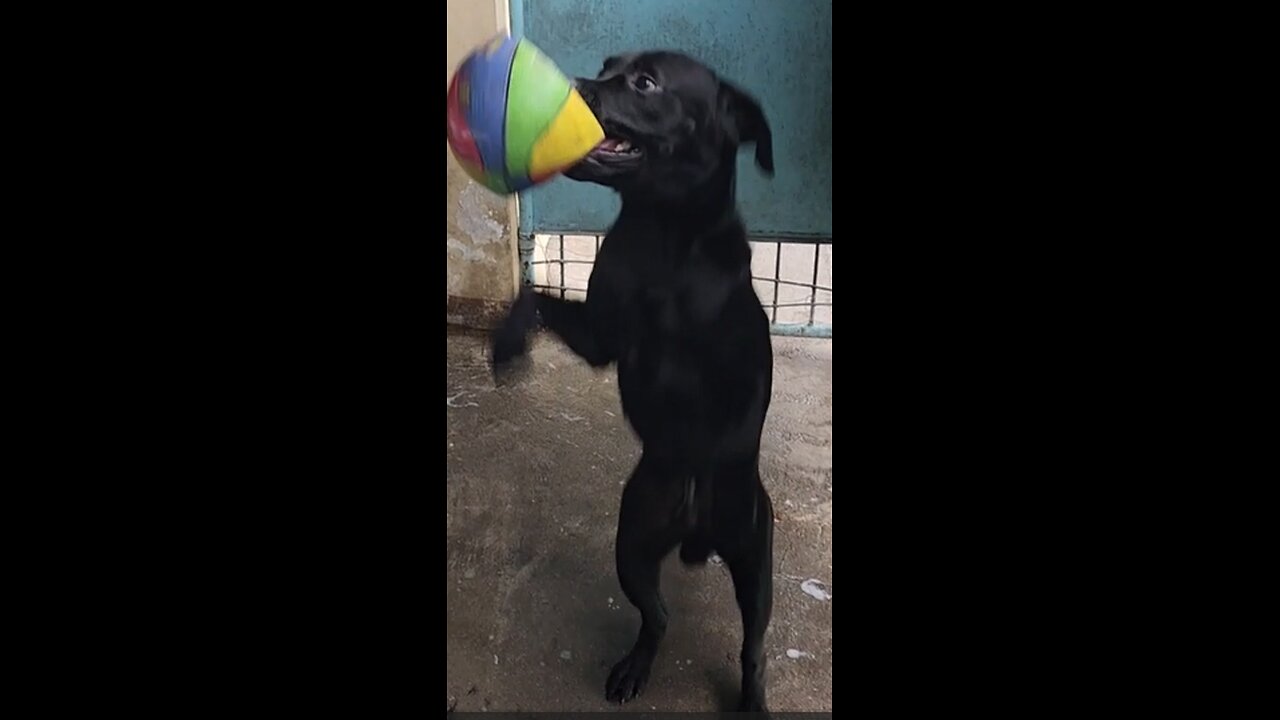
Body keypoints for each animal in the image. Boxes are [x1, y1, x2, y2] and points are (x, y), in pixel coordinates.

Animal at [488, 50, 773, 712]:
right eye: (605, 66)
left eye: (647, 83)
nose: (567, 87)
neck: (659, 232)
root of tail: (695, 533)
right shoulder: (603, 339)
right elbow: (533, 298)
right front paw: (508, 344)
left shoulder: (738, 355)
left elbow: (737, 400)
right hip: (633, 545)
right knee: (656, 616)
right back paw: (634, 668)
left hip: (754, 562)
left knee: (752, 648)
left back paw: (752, 698)